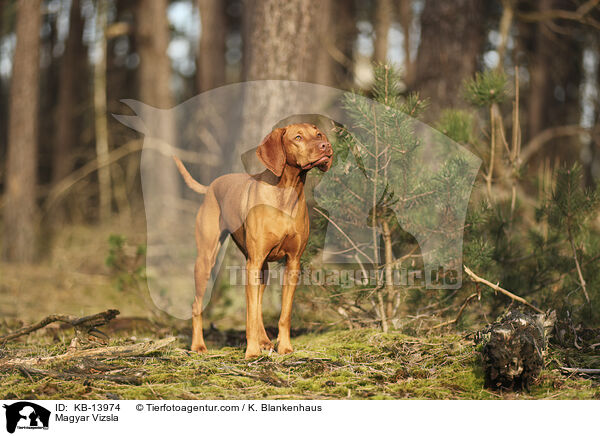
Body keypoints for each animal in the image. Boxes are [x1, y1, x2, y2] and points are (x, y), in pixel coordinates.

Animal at [172, 122, 332, 358]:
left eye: (319, 134)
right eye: (298, 137)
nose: (326, 146)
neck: (286, 193)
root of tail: (211, 186)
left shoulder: (292, 263)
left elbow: (284, 314)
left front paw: (285, 347)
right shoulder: (253, 262)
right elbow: (249, 313)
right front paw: (252, 352)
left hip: (261, 268)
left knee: (257, 305)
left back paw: (264, 340)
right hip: (207, 260)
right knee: (197, 304)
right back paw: (198, 346)